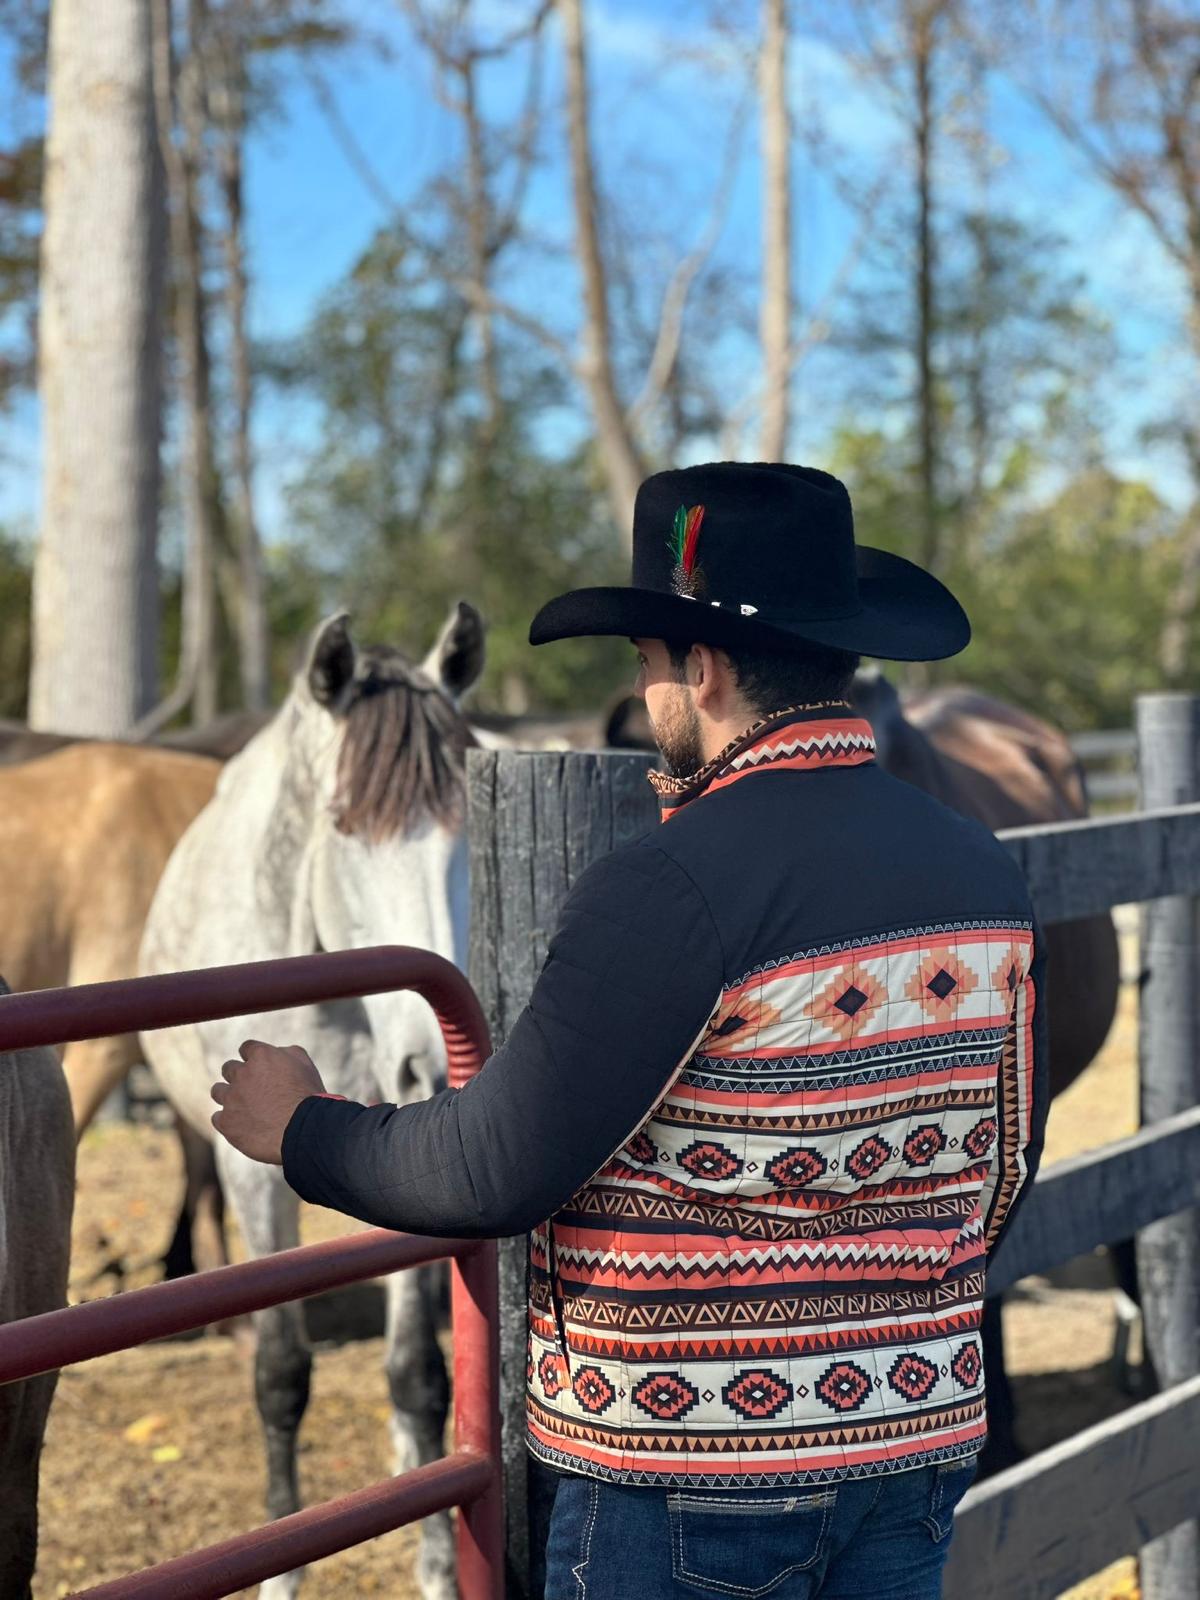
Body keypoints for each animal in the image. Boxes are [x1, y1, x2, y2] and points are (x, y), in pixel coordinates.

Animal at [144, 601, 489, 1600]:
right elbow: (282, 1372)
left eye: (463, 828)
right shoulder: (253, 1181)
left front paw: (439, 1567)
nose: (428, 1068)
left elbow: (418, 1373)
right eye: (344, 827)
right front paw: (280, 1567)